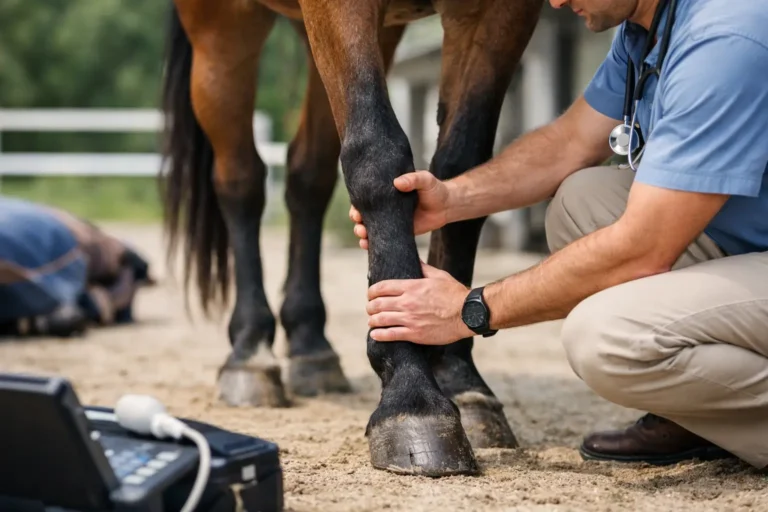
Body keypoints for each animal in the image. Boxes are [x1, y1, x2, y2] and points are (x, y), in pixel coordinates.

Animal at [160, 0, 545, 477]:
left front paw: (461, 378)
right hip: (222, 27)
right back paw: (249, 353)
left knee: (308, 173)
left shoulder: (501, 15)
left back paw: (311, 344)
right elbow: (376, 152)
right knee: (240, 181)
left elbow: (463, 166)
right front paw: (412, 396)